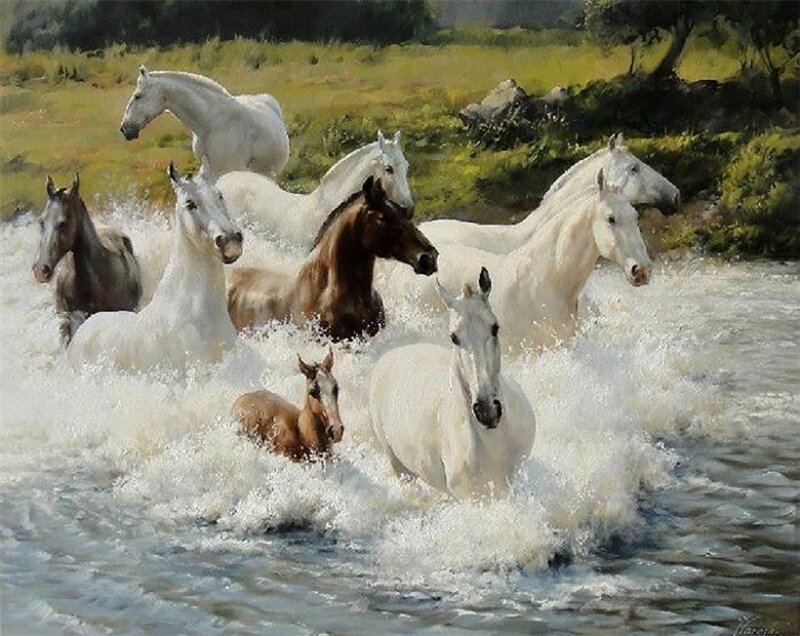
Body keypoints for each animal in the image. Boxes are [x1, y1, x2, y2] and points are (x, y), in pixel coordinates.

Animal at [369, 268, 536, 499]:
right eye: (454, 337)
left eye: (495, 327)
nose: (487, 411)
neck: (492, 438)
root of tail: (388, 357)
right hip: (399, 467)